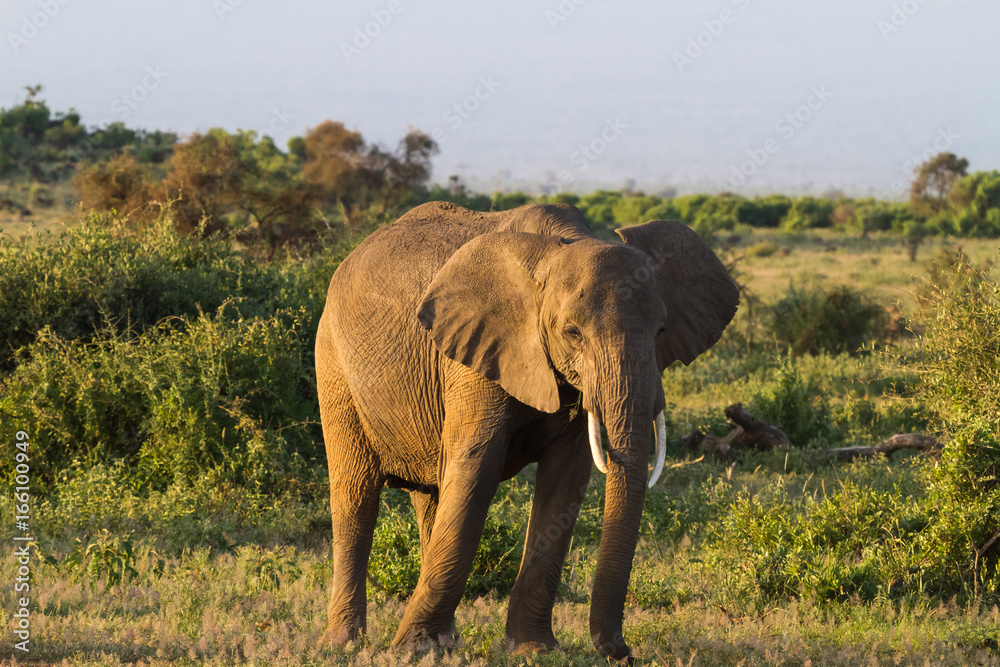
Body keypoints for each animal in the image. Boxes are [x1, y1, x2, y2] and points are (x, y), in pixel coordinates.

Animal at [315, 201, 739, 661]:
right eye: (573, 333)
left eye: (662, 331)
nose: (622, 653)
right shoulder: (473, 356)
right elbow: (476, 471)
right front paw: (411, 652)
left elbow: (565, 482)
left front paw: (533, 650)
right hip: (333, 366)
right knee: (357, 497)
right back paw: (344, 643)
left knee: (430, 497)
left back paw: (447, 641)